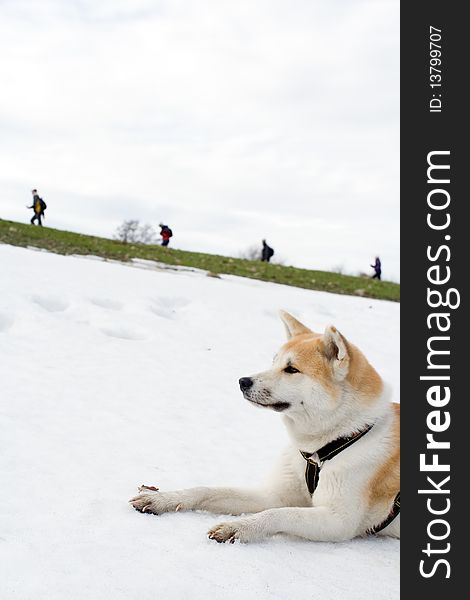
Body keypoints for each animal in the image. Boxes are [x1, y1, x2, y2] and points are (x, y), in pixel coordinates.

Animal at [129, 310, 400, 544]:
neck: (327, 445)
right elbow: (206, 490)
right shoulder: (275, 494)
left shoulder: (338, 521)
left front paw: (239, 527)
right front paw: (163, 498)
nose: (242, 381)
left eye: (291, 369)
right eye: (274, 362)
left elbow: (281, 513)